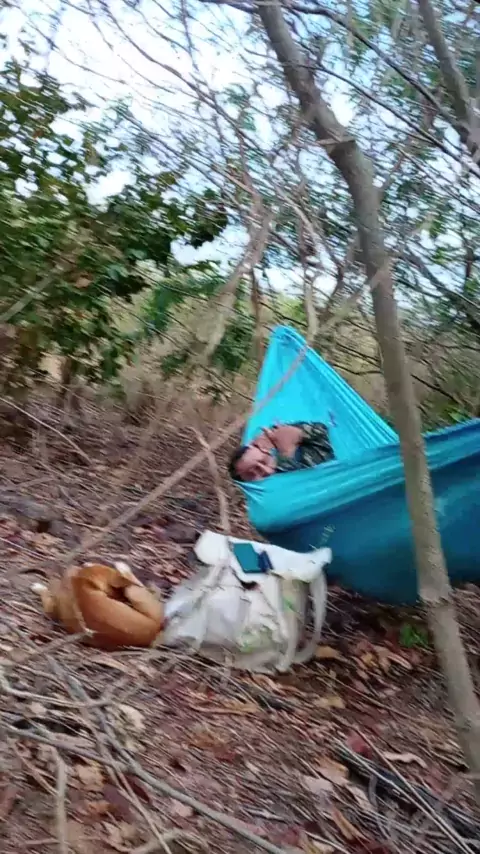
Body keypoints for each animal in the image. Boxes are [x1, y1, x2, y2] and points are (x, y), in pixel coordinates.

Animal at [32, 562, 164, 650]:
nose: (124, 601)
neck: (82, 582)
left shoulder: (52, 607)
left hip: (132, 590)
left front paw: (39, 587)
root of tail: (155, 630)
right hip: (132, 590)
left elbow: (46, 594)